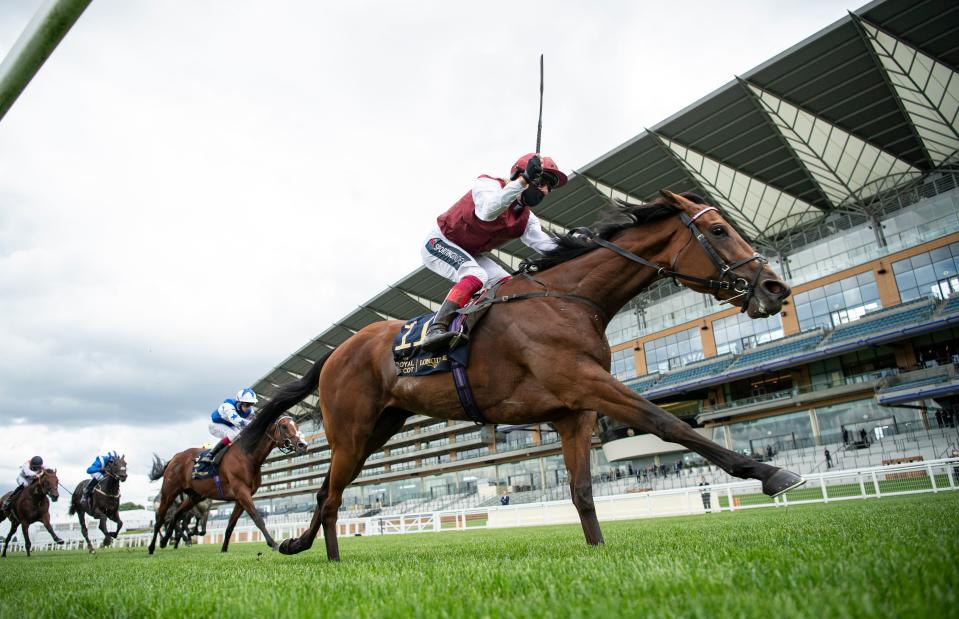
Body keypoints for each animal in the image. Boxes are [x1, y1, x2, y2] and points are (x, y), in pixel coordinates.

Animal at [146, 414, 308, 556]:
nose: (303, 445)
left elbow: (230, 525)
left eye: (296, 425)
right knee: (160, 519)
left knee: (176, 515)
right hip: (169, 492)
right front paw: (274, 544)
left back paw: (167, 541)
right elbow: (257, 518)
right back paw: (153, 547)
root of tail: (175, 457)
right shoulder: (242, 493)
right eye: (284, 426)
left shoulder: (241, 498)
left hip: (194, 496)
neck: (247, 456)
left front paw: (224, 548)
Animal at [242, 191, 808, 564]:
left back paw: (302, 545)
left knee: (325, 492)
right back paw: (328, 556)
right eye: (718, 231)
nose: (775, 287)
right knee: (331, 495)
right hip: (352, 431)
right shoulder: (587, 384)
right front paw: (770, 472)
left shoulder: (574, 411)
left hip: (378, 429)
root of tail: (335, 353)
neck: (570, 300)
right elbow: (668, 423)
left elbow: (582, 491)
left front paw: (597, 551)